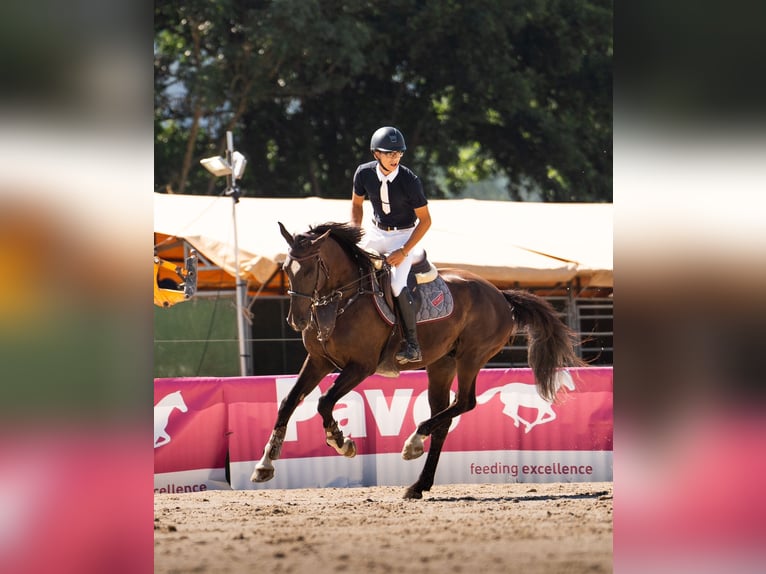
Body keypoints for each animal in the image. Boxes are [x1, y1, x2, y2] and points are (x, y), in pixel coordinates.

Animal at [252, 222, 584, 499]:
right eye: (286, 268)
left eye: (309, 270)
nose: (296, 320)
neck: (342, 300)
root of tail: (500, 295)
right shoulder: (319, 361)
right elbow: (288, 403)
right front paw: (265, 463)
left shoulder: (360, 366)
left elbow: (324, 402)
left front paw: (340, 440)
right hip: (441, 364)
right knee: (444, 418)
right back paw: (419, 483)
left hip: (471, 357)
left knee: (465, 402)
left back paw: (413, 442)